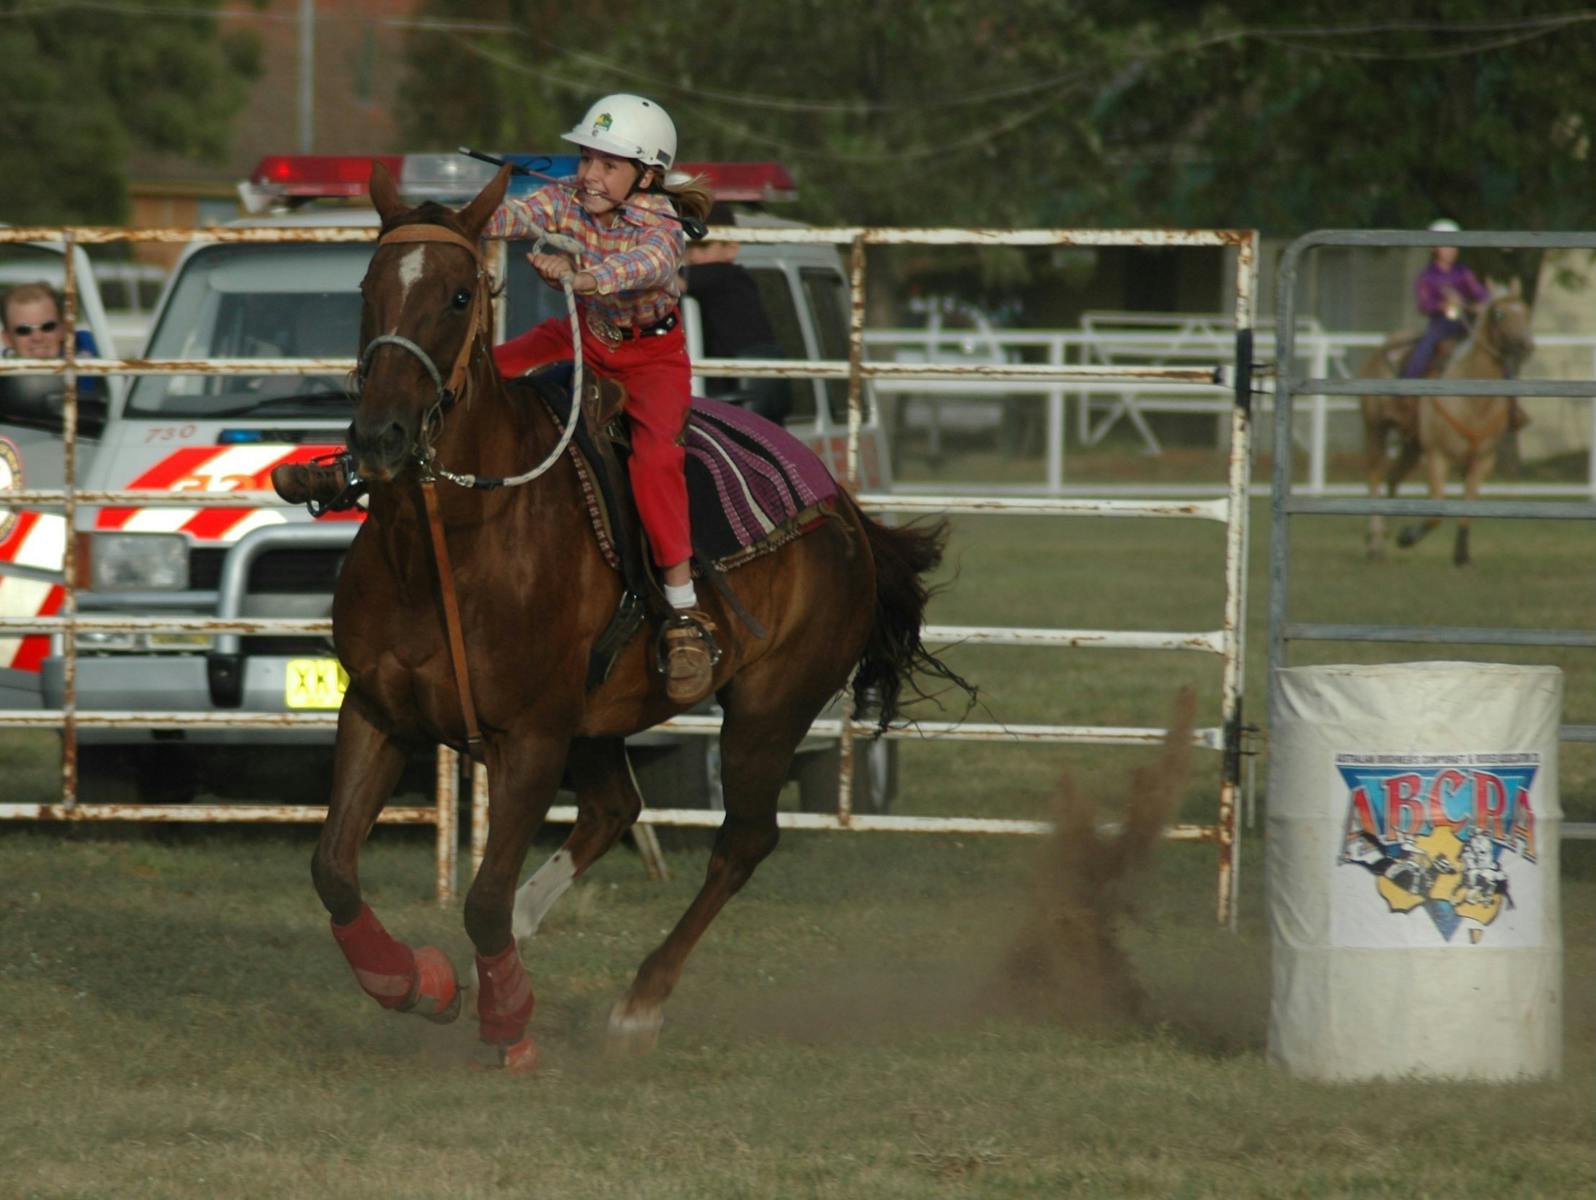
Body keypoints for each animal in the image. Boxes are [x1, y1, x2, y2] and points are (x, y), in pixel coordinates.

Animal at [304, 161, 963, 1065]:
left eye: (460, 295)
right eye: (368, 288)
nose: (381, 436)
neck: (453, 541)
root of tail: (845, 511)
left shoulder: (532, 739)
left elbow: (479, 896)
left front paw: (509, 1022)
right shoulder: (376, 711)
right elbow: (336, 870)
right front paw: (416, 983)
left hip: (767, 711)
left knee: (742, 841)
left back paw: (640, 1001)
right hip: (602, 722)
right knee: (615, 808)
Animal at [1359, 285, 1532, 561]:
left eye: (1525, 311)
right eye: (1499, 314)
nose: (1527, 345)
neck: (1474, 403)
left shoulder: (1483, 460)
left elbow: (1468, 508)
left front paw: (1462, 555)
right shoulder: (1437, 456)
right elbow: (1436, 512)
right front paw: (1407, 537)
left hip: (1412, 446)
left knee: (1392, 479)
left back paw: (1382, 535)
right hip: (1375, 428)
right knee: (1375, 475)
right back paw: (1375, 541)